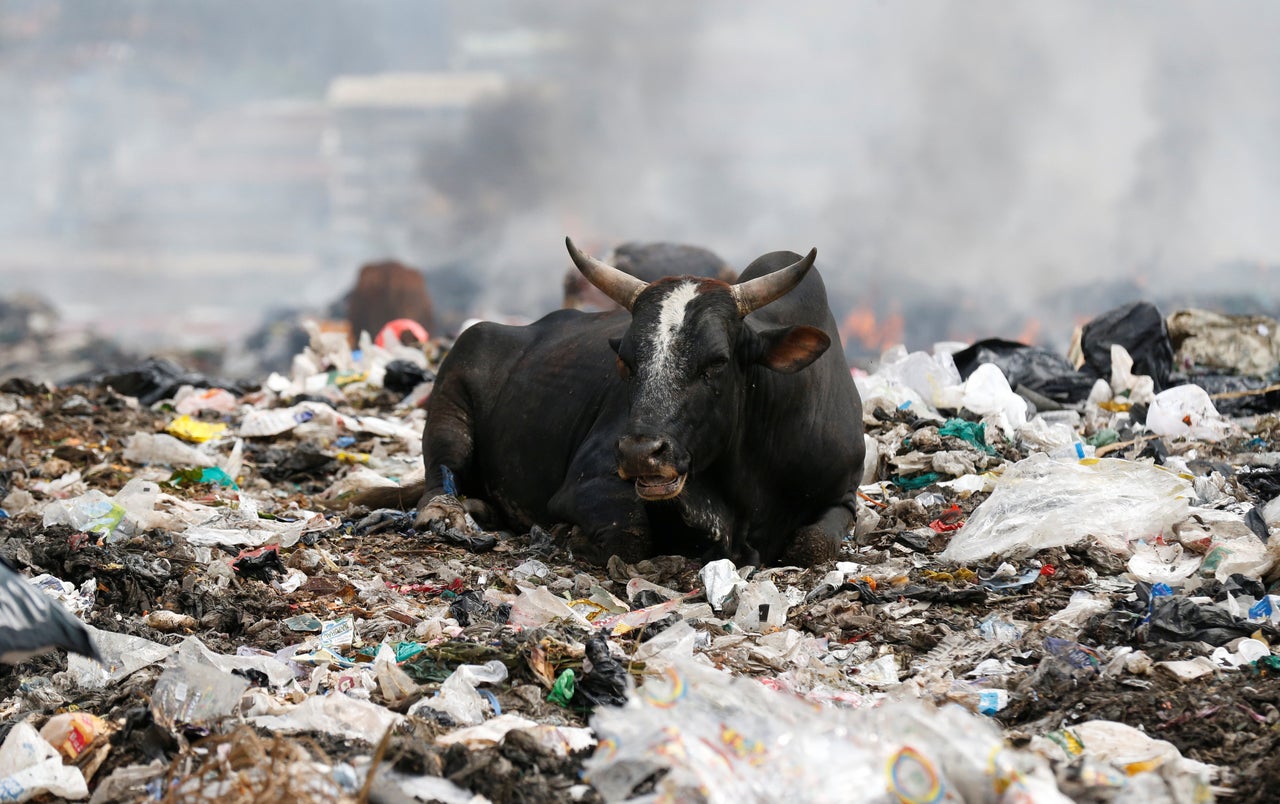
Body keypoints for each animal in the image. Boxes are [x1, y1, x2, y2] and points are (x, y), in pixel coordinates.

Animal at [384, 238, 860, 565]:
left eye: (717, 362)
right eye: (627, 361)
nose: (639, 453)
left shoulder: (845, 495)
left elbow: (813, 545)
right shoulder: (586, 483)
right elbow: (629, 534)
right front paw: (567, 535)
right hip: (450, 406)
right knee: (440, 475)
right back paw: (450, 511)